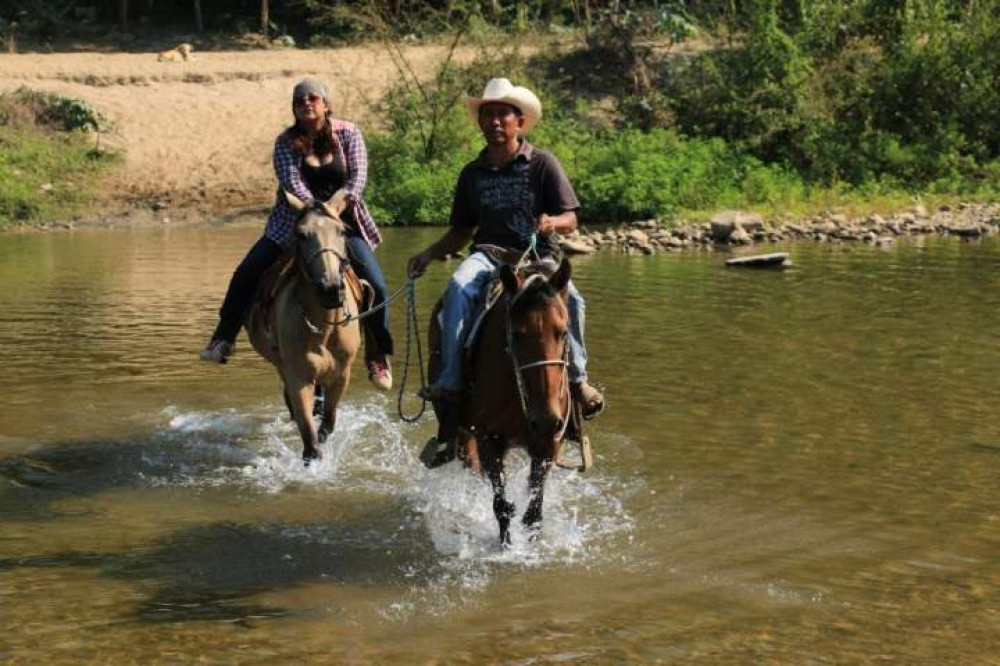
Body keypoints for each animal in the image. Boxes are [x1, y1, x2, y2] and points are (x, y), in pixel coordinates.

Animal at [245, 189, 362, 460]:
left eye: (343, 231)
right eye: (301, 234)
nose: (330, 289)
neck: (325, 326)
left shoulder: (342, 374)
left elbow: (328, 422)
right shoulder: (297, 376)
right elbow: (309, 438)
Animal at [454, 256, 572, 544]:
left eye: (563, 332)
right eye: (517, 334)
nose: (545, 420)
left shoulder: (550, 442)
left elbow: (534, 514)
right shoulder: (489, 440)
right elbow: (502, 507)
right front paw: (506, 546)